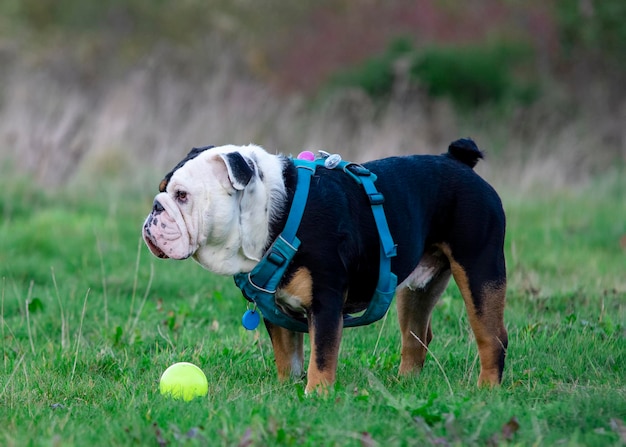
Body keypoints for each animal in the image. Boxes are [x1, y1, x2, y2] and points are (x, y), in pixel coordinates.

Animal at [143, 141, 508, 396]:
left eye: (182, 195)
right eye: (161, 190)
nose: (154, 210)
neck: (272, 213)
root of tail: (458, 161)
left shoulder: (326, 303)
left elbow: (321, 352)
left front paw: (316, 394)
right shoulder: (276, 310)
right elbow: (286, 354)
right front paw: (286, 388)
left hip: (479, 270)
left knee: (491, 336)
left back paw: (487, 390)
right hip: (415, 289)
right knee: (416, 336)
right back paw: (404, 384)